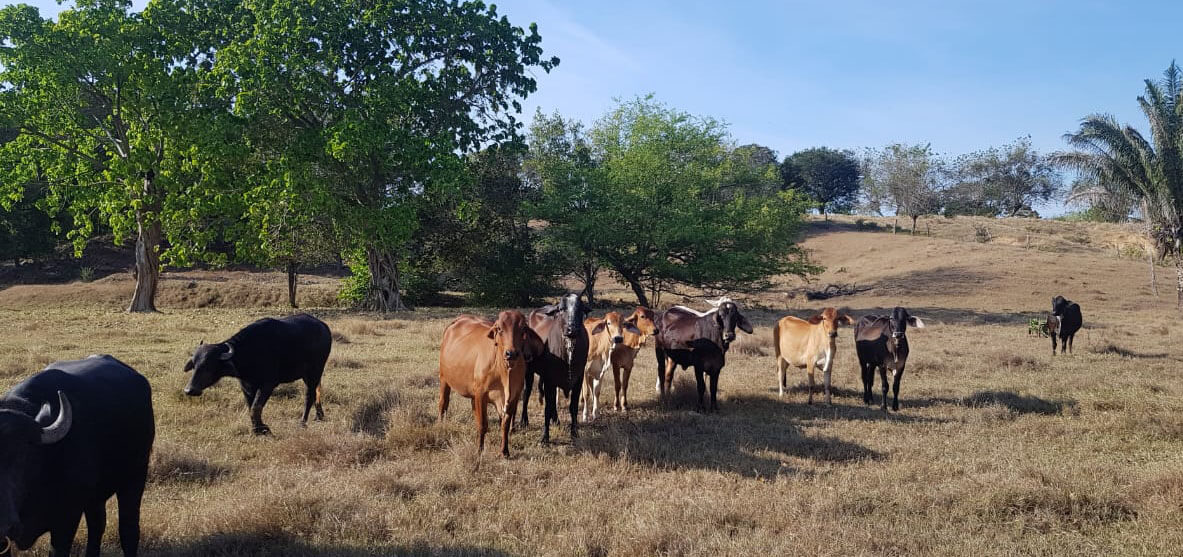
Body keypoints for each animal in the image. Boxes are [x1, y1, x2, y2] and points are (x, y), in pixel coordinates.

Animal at [0, 354, 153, 557]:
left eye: (23, 456)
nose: (4, 525)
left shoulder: (67, 519)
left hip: (136, 476)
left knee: (128, 530)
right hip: (96, 496)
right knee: (97, 525)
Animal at [182, 313, 332, 435]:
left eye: (208, 365)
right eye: (194, 365)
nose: (189, 390)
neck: (250, 352)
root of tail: (324, 327)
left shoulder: (268, 384)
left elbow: (256, 407)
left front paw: (263, 429)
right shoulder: (246, 386)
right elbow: (251, 407)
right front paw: (257, 429)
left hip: (315, 371)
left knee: (309, 395)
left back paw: (303, 422)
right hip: (308, 375)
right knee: (316, 391)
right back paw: (319, 415)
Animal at [438, 311, 533, 457]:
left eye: (523, 328)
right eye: (499, 329)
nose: (511, 353)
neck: (504, 373)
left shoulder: (514, 396)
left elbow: (505, 424)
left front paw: (504, 451)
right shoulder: (481, 393)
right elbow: (482, 424)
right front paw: (479, 450)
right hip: (444, 379)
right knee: (443, 403)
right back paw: (440, 425)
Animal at [522, 293, 591, 443]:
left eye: (580, 309)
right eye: (561, 309)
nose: (572, 329)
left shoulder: (578, 379)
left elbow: (573, 407)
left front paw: (574, 433)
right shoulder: (550, 380)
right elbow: (547, 407)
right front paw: (545, 437)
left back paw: (556, 420)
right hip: (529, 371)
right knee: (526, 393)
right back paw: (523, 421)